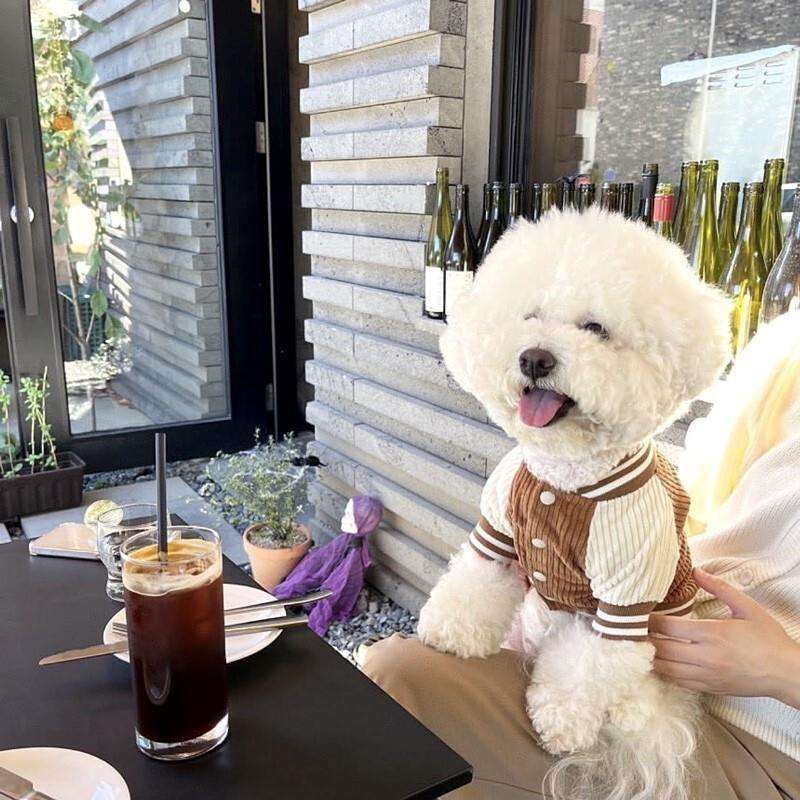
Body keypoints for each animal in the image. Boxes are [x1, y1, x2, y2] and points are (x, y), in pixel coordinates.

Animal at [418, 209, 732, 800]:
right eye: (531, 315)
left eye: (596, 329)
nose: (534, 357)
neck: (565, 479)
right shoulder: (498, 529)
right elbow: (474, 582)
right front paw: (451, 629)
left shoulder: (624, 596)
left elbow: (590, 667)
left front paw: (562, 721)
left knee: (644, 700)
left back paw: (632, 711)